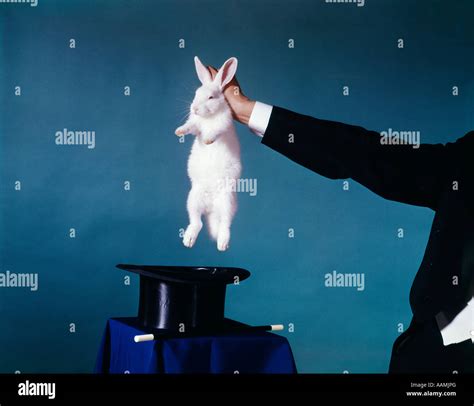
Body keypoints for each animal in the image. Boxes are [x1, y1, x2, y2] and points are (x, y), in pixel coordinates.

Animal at [174, 55, 241, 249]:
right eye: (196, 94)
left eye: (211, 97)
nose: (194, 108)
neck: (208, 117)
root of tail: (211, 207)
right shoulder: (195, 124)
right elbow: (191, 127)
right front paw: (179, 132)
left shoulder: (223, 124)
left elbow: (216, 131)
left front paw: (208, 140)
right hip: (193, 200)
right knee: (197, 222)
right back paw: (188, 240)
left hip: (226, 202)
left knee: (224, 224)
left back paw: (222, 244)